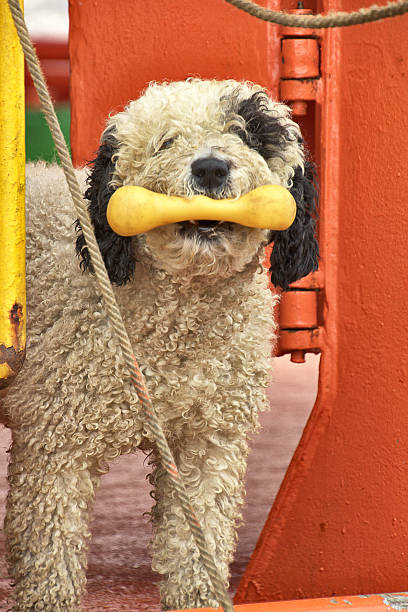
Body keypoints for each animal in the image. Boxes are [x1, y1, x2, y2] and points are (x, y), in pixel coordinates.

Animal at [0, 79, 318, 608]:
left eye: (249, 134)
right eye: (167, 141)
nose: (210, 167)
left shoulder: (208, 441)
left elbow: (197, 537)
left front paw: (198, 598)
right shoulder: (56, 443)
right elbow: (52, 546)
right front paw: (48, 600)